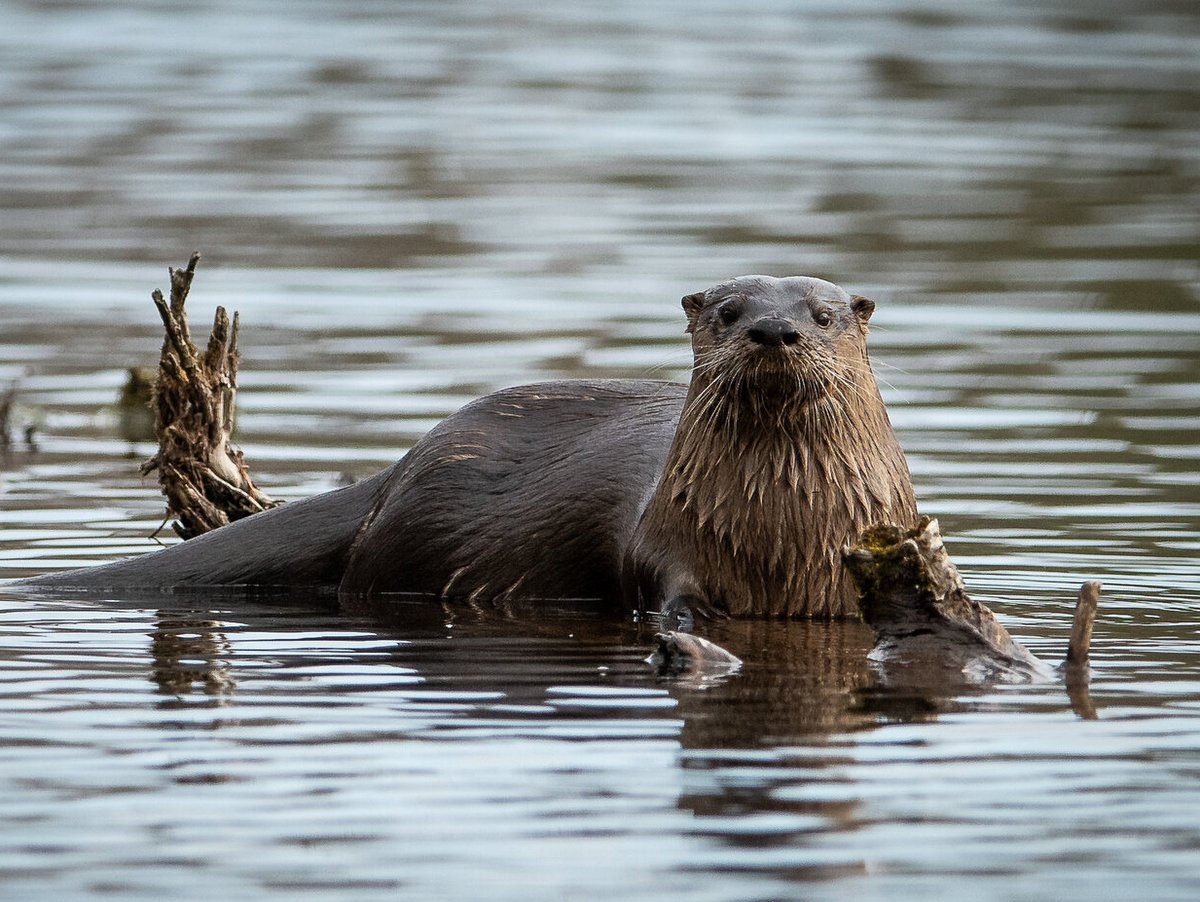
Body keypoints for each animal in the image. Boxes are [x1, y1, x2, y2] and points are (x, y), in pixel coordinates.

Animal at [25, 274, 907, 618]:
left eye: (824, 314)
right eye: (727, 312)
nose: (774, 329)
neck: (778, 536)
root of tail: (395, 472)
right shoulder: (666, 544)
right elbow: (666, 597)